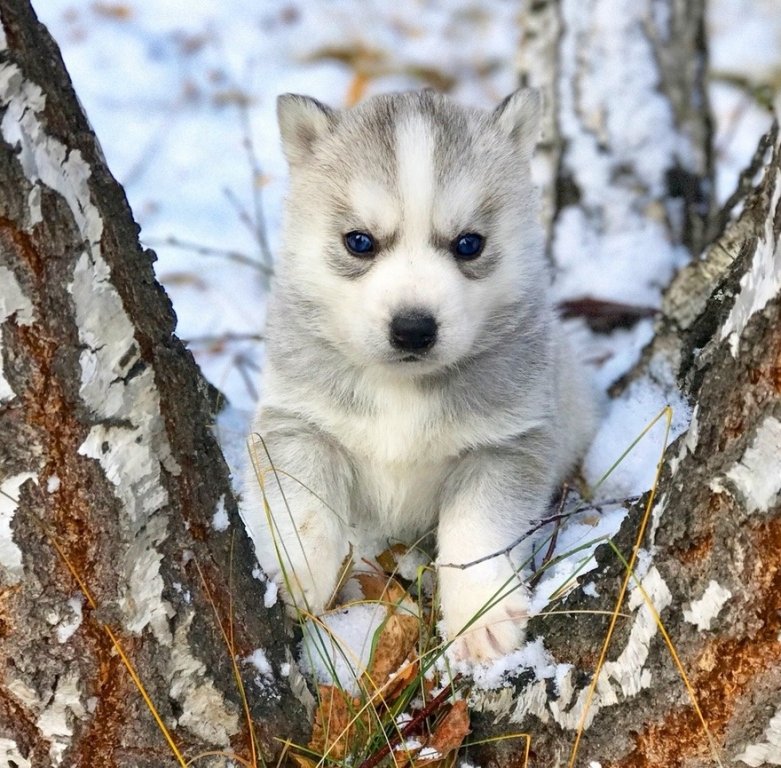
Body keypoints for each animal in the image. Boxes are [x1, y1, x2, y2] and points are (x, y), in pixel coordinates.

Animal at [247, 90, 596, 664]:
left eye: (469, 244)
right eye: (359, 242)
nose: (413, 329)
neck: (401, 390)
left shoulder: (504, 446)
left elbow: (476, 531)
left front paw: (481, 617)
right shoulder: (298, 423)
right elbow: (303, 507)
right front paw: (298, 575)